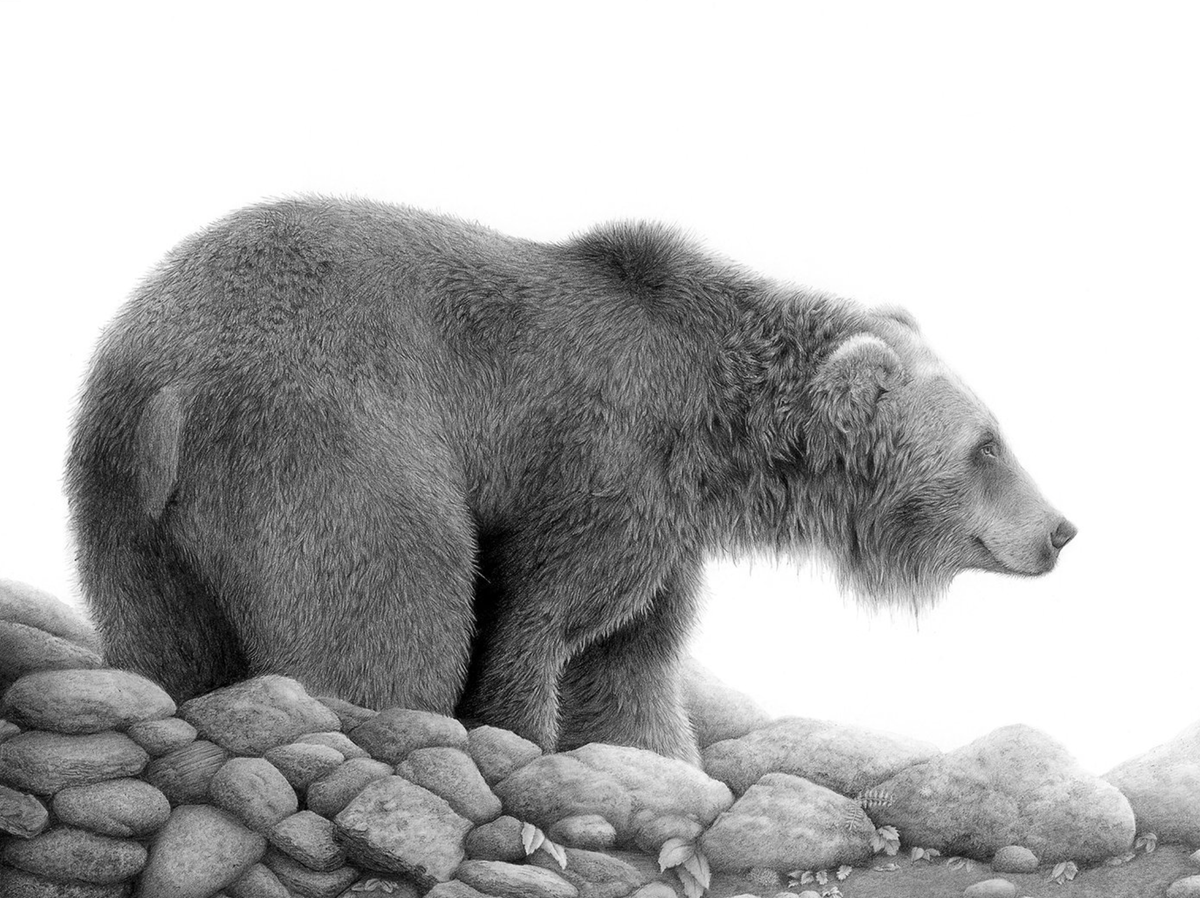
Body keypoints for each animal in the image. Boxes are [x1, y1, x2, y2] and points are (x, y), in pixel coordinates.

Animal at [66, 197, 1075, 764]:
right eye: (987, 444)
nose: (1062, 529)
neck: (715, 429)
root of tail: (163, 386)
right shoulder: (605, 468)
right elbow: (542, 618)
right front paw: (523, 741)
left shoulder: (669, 533)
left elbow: (625, 663)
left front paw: (660, 759)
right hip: (330, 445)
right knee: (391, 611)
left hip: (123, 508)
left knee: (166, 639)